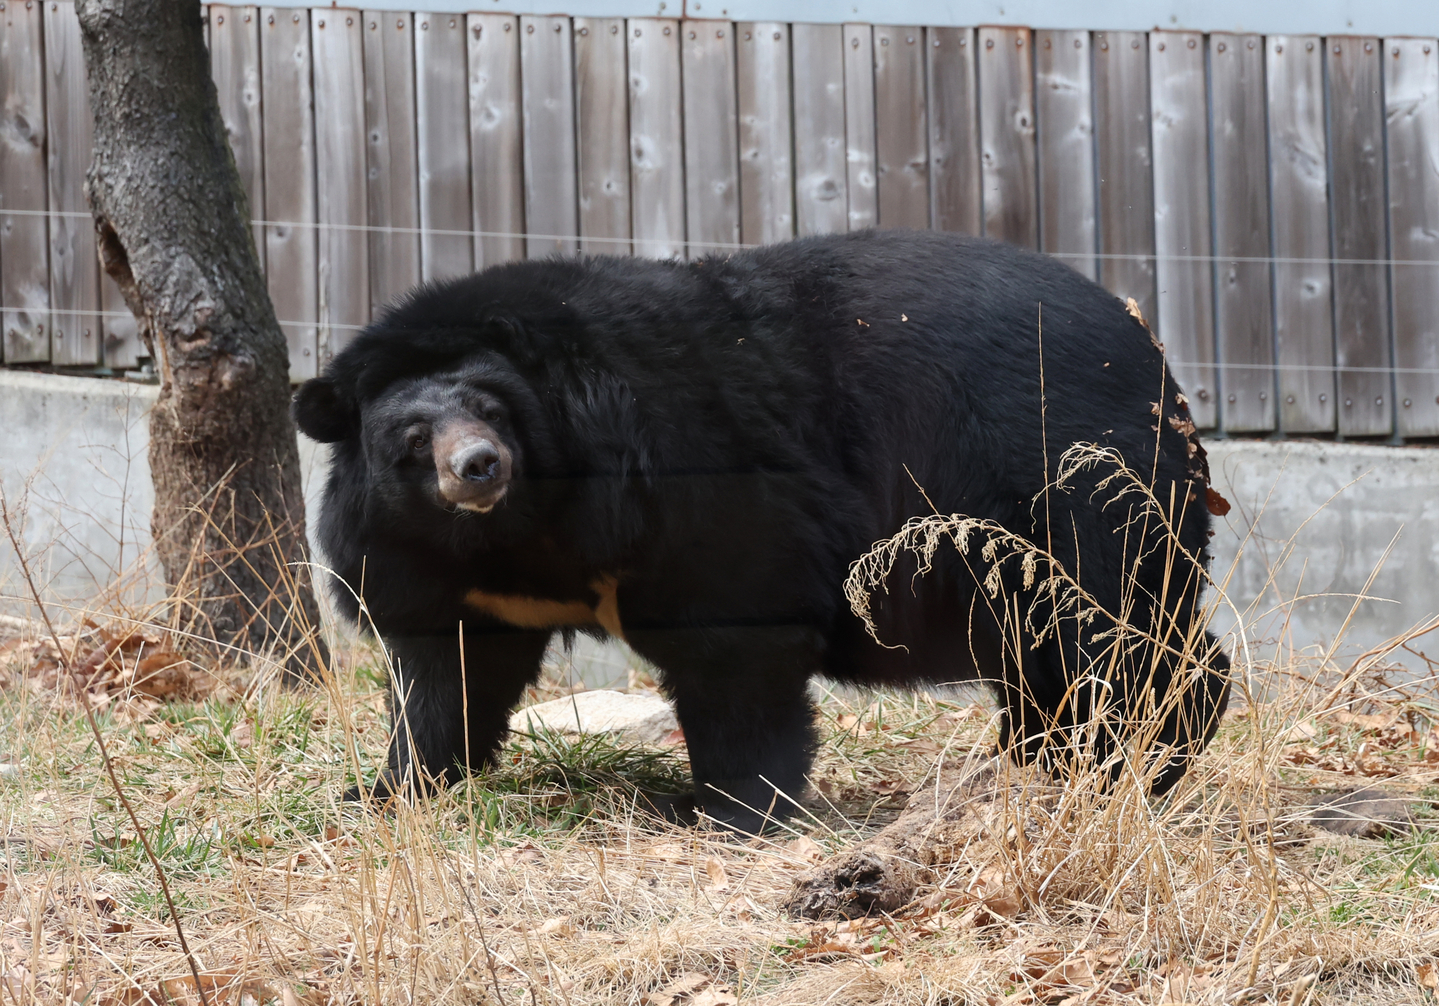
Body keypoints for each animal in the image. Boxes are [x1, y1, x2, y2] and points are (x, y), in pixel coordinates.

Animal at [293, 228, 1231, 834]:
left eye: (492, 409)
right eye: (415, 436)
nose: (479, 467)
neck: (520, 528)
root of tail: (1148, 349)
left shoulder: (689, 472)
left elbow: (736, 633)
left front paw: (726, 807)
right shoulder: (431, 566)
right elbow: (448, 673)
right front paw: (386, 792)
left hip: (1068, 480)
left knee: (1113, 631)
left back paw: (1135, 761)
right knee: (1050, 649)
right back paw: (1042, 761)